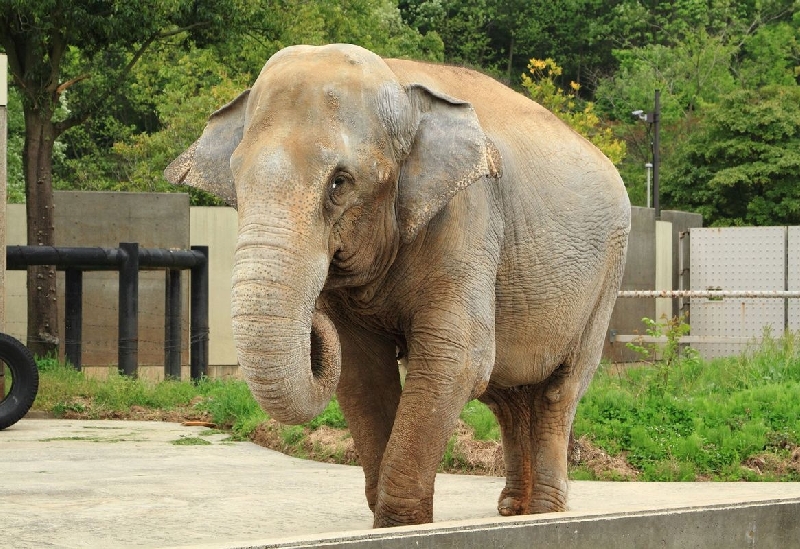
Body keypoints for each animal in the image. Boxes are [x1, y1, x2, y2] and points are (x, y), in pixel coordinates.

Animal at [167, 44, 632, 528]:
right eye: (236, 182)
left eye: (339, 183)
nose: (314, 323)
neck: (399, 82)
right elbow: (361, 369)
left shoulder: (469, 214)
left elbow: (455, 358)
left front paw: (402, 524)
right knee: (505, 395)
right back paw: (512, 510)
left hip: (608, 273)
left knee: (558, 391)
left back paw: (541, 512)